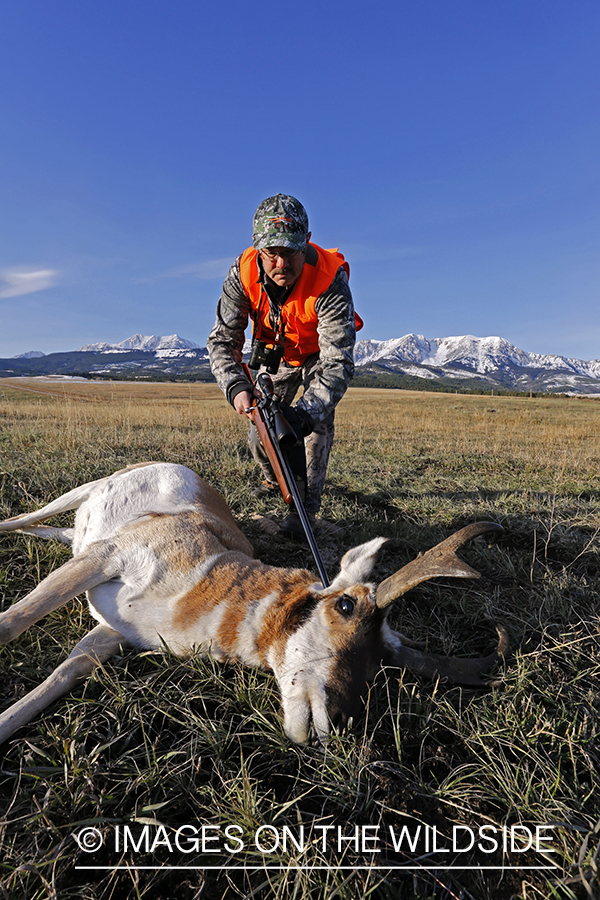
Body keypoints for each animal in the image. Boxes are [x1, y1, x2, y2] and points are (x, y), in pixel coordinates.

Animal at [0, 464, 506, 744]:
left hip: (76, 537)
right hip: (80, 499)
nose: (342, 721)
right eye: (345, 606)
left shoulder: (110, 633)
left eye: (382, 661)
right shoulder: (106, 558)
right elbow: (12, 623)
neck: (212, 576)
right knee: (24, 518)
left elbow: (63, 672)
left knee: (53, 532)